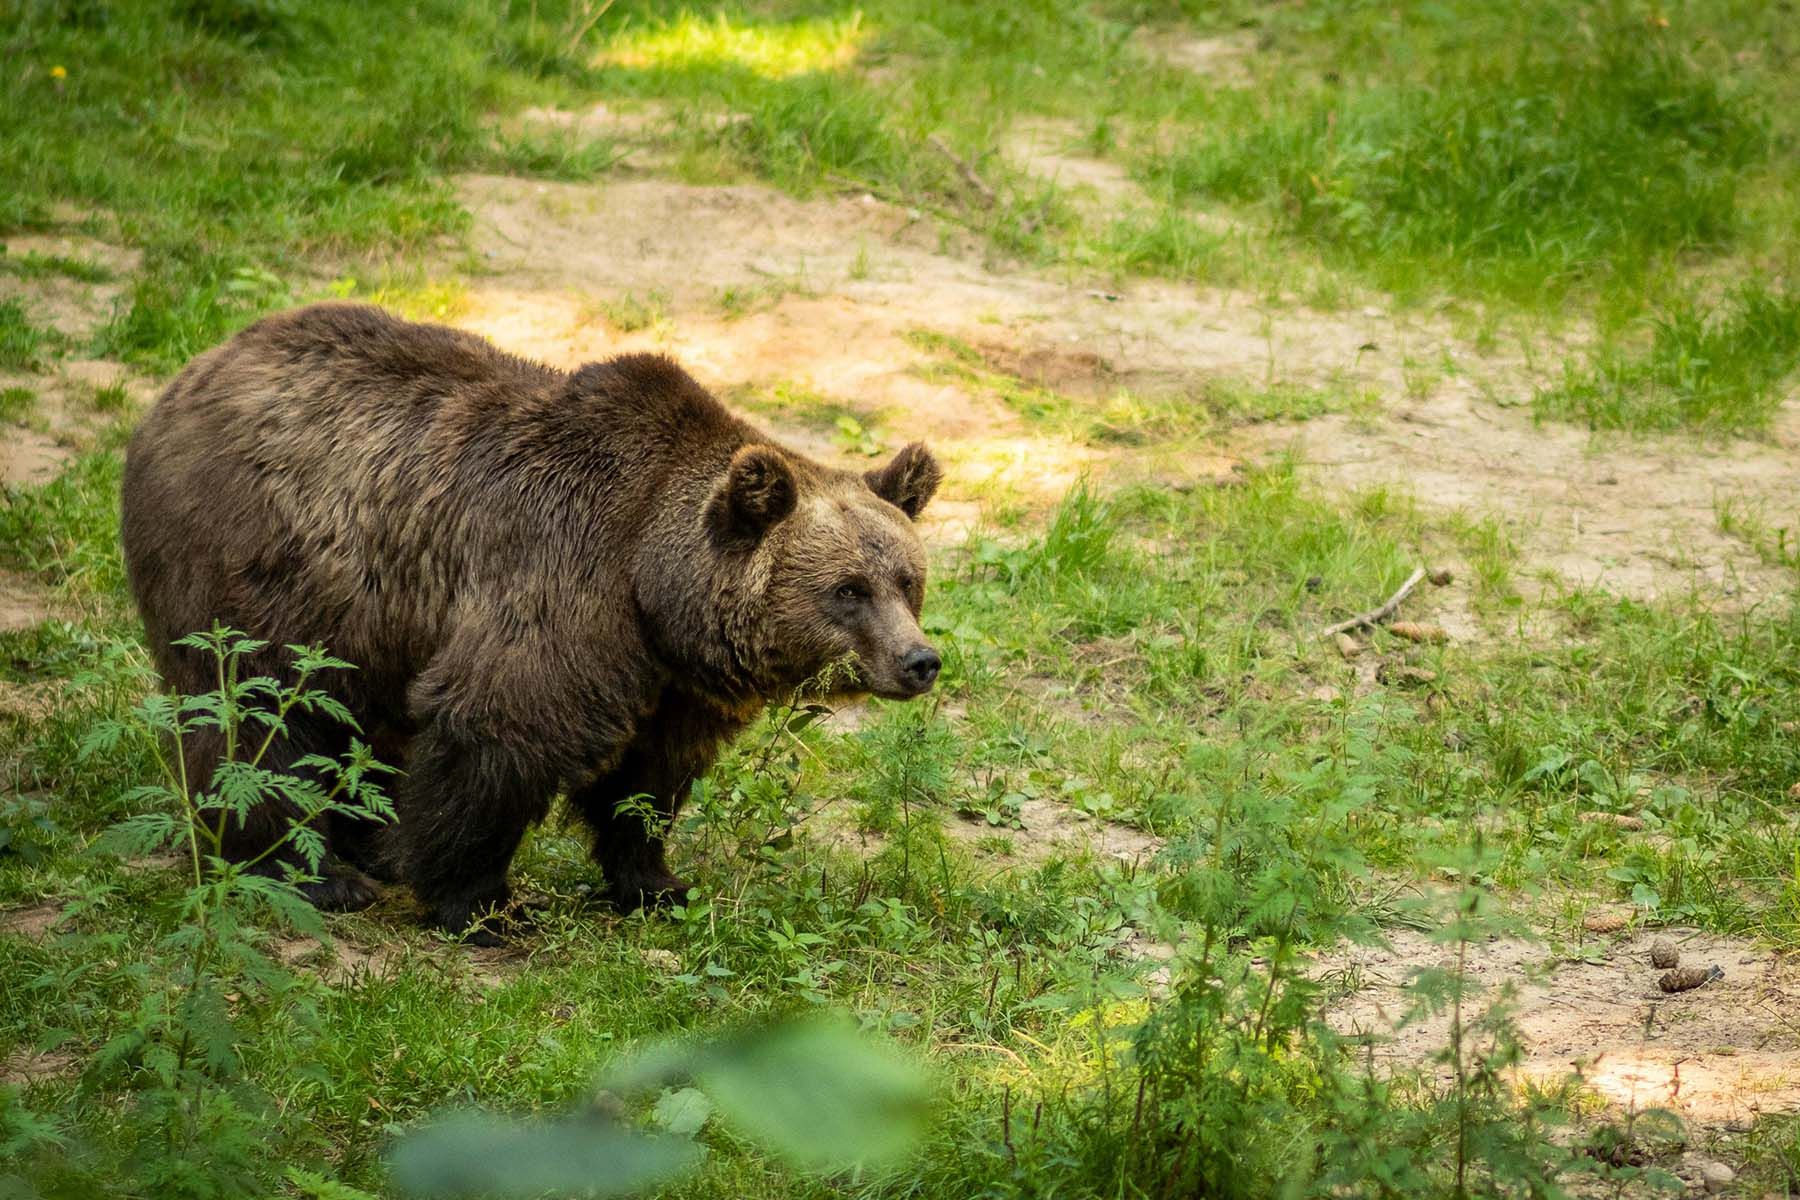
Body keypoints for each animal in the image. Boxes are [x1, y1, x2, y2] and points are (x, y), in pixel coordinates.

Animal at [120, 302, 943, 942]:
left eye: (908, 582)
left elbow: (648, 782)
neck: (651, 583)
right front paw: (485, 904)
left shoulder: (673, 682)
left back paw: (372, 845)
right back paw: (313, 873)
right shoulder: (558, 580)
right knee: (257, 715)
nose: (920, 661)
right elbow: (500, 726)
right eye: (847, 590)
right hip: (258, 565)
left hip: (367, 616)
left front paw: (656, 883)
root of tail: (196, 369)